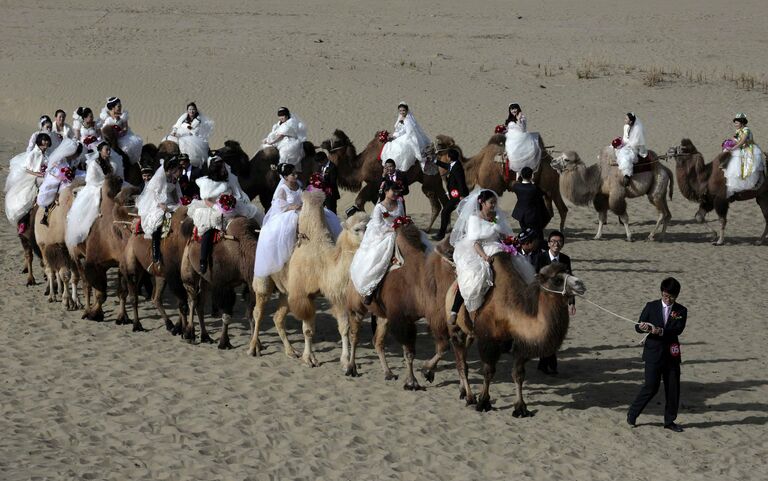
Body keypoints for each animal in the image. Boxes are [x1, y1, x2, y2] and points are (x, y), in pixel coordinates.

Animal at [32, 178, 84, 310]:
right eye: (76, 193)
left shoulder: (73, 250)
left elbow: (75, 276)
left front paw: (77, 301)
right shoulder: (59, 246)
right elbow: (65, 274)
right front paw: (67, 301)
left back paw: (59, 292)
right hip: (43, 246)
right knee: (50, 270)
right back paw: (52, 296)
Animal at [178, 216, 260, 346]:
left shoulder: (249, 284)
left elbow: (251, 312)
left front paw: (256, 344)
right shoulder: (225, 284)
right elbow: (226, 315)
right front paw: (224, 342)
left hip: (205, 279)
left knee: (200, 304)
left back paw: (205, 336)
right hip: (188, 269)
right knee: (192, 300)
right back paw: (189, 334)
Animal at [320, 129, 448, 231]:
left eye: (337, 141)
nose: (323, 143)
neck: (360, 166)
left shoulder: (374, 182)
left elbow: (359, 201)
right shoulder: (377, 187)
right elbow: (378, 203)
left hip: (429, 180)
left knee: (436, 203)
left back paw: (429, 230)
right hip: (436, 180)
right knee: (444, 200)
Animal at [462, 260, 588, 414]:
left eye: (569, 272)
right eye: (557, 279)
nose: (580, 284)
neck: (511, 313)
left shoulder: (522, 348)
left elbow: (518, 375)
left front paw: (521, 408)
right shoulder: (489, 342)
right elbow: (488, 371)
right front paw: (483, 403)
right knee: (460, 359)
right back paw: (467, 395)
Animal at [548, 148, 676, 240]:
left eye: (566, 159)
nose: (552, 161)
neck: (598, 176)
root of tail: (665, 169)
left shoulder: (616, 194)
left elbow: (623, 217)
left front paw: (629, 236)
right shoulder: (602, 195)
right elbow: (601, 217)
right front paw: (597, 236)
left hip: (655, 192)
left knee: (662, 214)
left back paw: (651, 235)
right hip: (661, 193)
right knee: (668, 214)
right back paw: (662, 236)